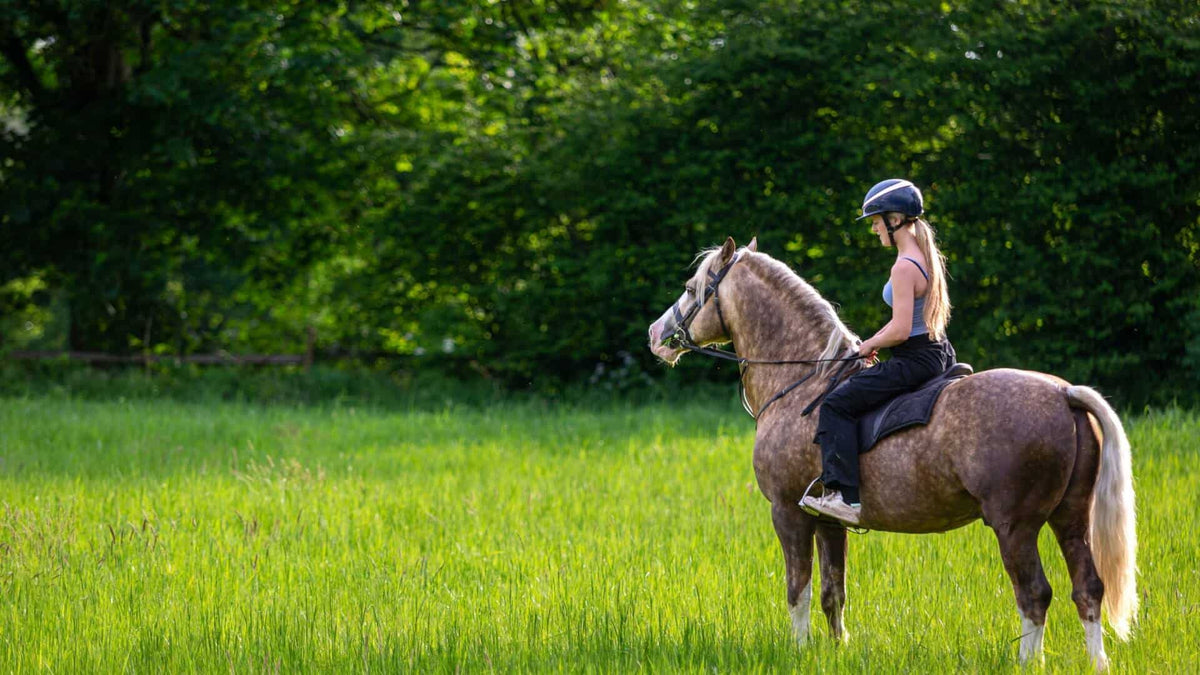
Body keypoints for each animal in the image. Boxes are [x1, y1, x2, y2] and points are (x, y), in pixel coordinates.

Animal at [646, 237, 1136, 670]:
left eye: (691, 288)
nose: (656, 335)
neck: (802, 381)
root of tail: (1063, 394)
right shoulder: (828, 520)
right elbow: (833, 591)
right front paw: (836, 650)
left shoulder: (788, 512)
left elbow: (797, 588)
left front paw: (799, 651)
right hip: (1069, 518)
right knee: (1088, 588)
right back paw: (1098, 663)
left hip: (1015, 527)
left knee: (1034, 594)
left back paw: (1028, 663)